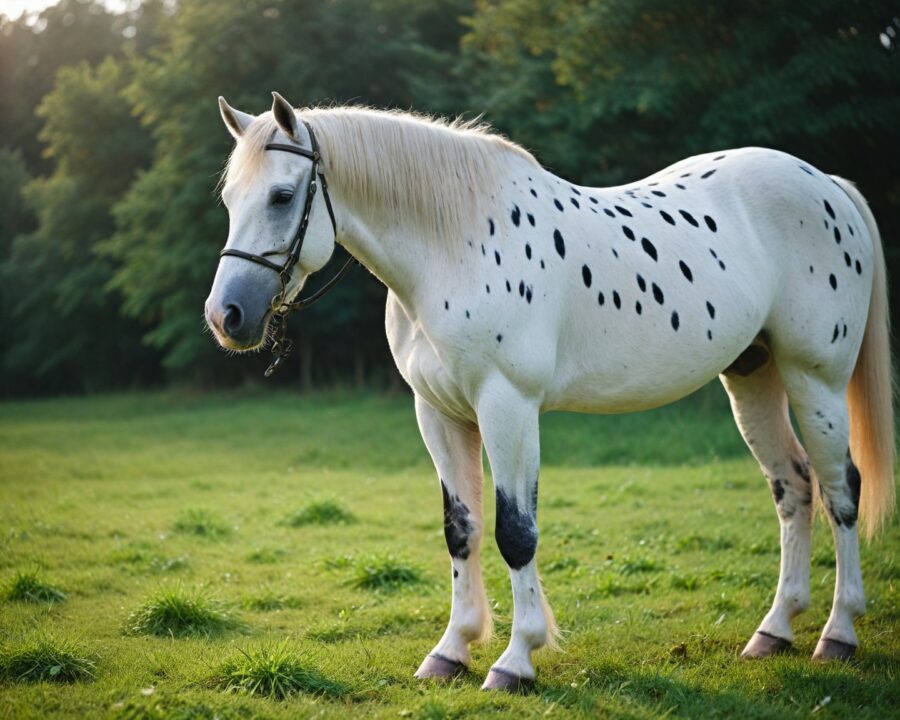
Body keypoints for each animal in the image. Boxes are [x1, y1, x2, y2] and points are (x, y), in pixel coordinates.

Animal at [205, 92, 894, 691]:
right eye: (230, 199)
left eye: (282, 195)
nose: (226, 316)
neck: (453, 242)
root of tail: (827, 185)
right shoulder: (439, 413)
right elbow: (461, 529)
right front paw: (451, 651)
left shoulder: (508, 406)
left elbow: (516, 532)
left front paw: (514, 661)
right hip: (753, 376)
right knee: (793, 488)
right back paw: (773, 632)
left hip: (814, 379)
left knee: (841, 490)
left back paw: (837, 634)